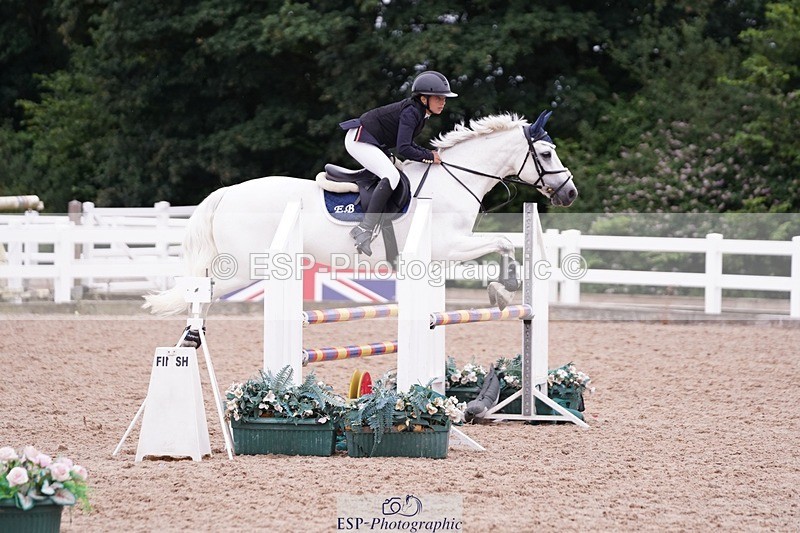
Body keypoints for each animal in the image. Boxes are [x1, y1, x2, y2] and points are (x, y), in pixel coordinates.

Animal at [143, 110, 577, 316]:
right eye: (545, 154)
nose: (570, 193)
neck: (455, 177)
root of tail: (226, 194)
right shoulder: (448, 246)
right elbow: (503, 241)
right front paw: (503, 290)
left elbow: (503, 244)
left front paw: (502, 290)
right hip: (245, 266)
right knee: (201, 293)